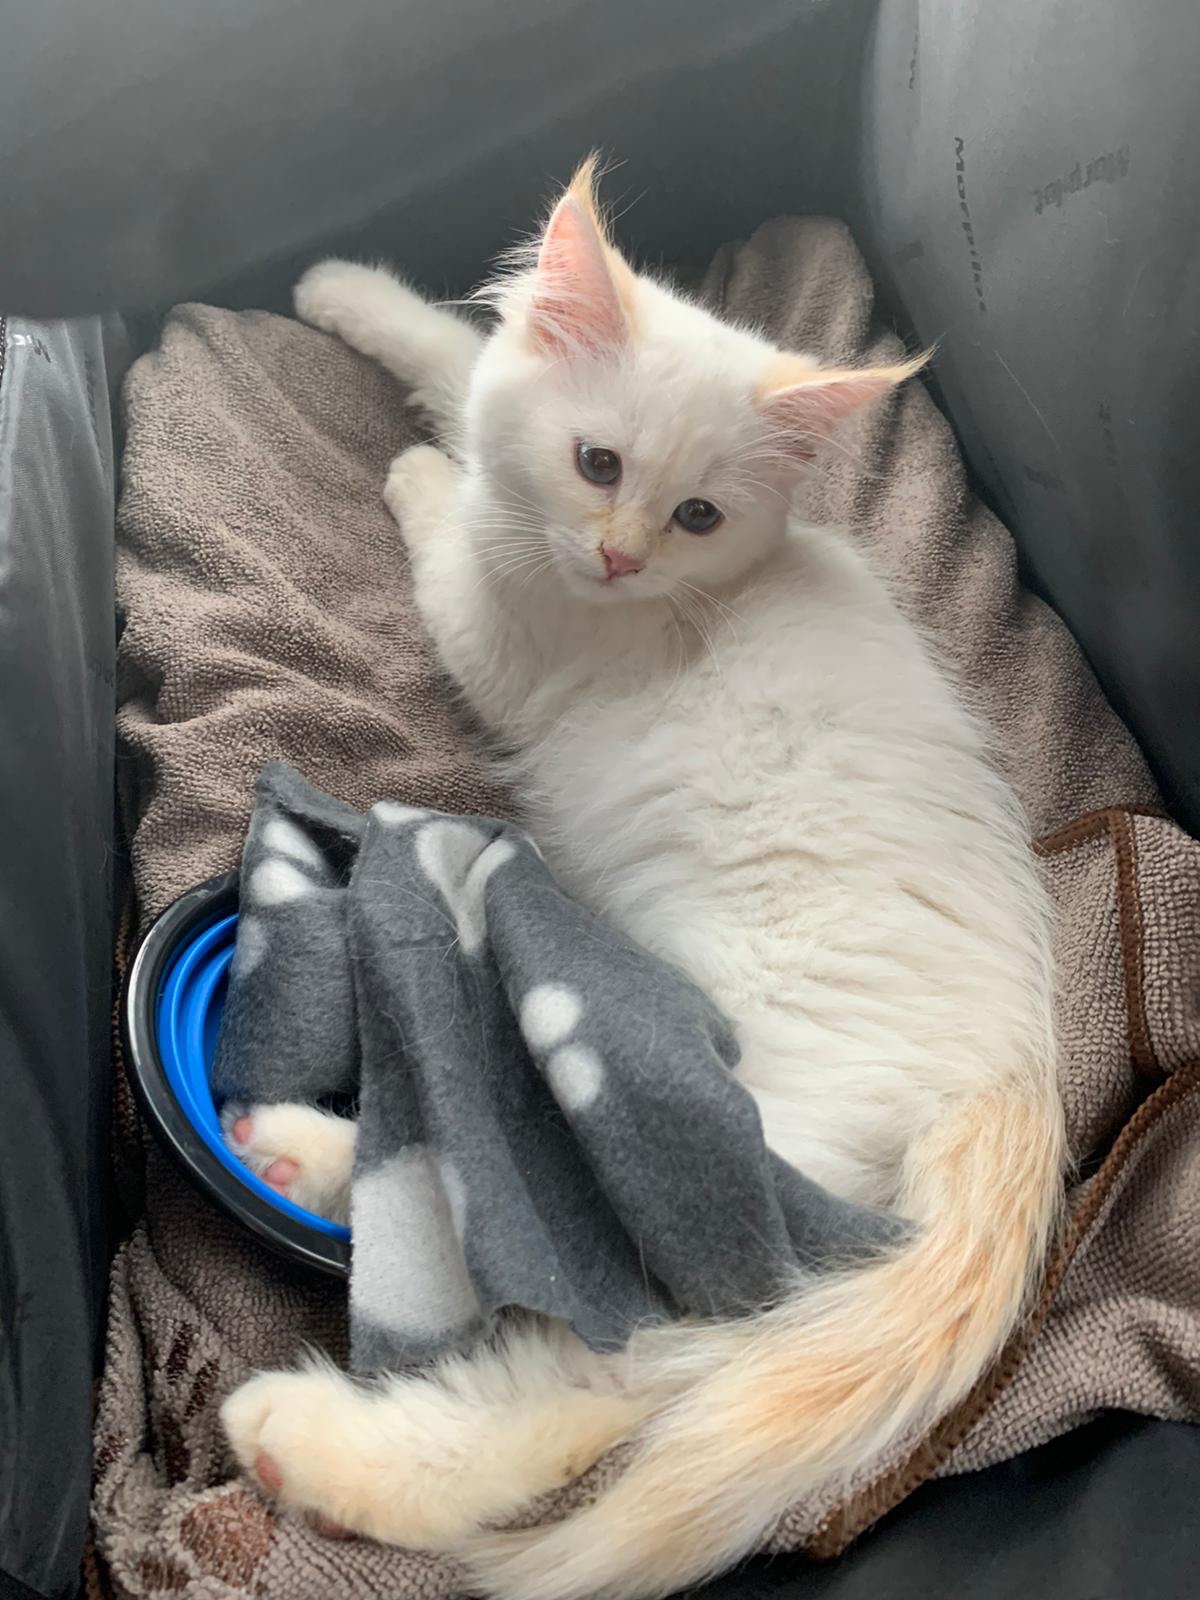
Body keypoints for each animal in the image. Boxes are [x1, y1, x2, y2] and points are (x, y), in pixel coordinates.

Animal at [221, 157, 1066, 1600]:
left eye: (698, 515)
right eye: (598, 462)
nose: (618, 554)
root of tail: (1014, 1073)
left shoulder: (496, 638)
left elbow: (443, 520)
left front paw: (416, 468)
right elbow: (459, 358)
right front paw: (347, 293)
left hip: (688, 1116)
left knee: (586, 1339)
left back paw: (309, 1370)